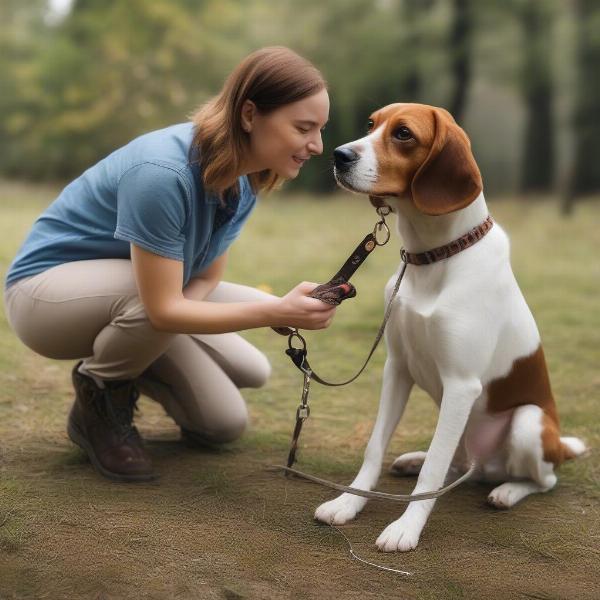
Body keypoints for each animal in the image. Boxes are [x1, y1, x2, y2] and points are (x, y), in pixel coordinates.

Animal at [314, 103, 584, 552]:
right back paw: (416, 459)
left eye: (403, 134)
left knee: (542, 479)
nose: (338, 155)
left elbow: (432, 475)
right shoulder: (396, 368)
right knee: (456, 464)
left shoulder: (461, 384)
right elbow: (375, 448)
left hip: (527, 423)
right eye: (371, 124)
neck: (433, 257)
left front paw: (405, 528)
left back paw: (508, 490)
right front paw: (348, 503)